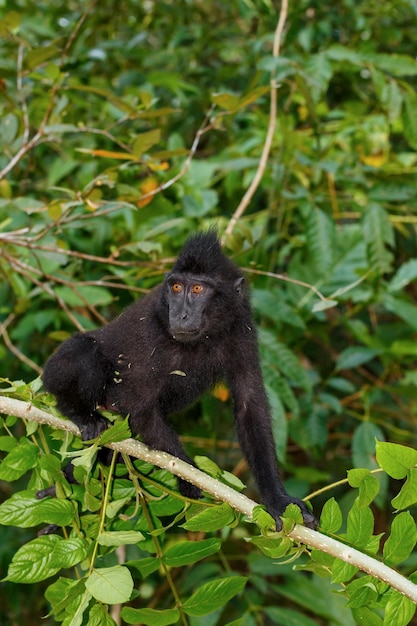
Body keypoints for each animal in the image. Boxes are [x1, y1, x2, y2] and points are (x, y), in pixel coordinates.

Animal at [43, 232, 316, 528]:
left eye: (197, 289)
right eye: (176, 287)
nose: (180, 314)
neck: (204, 337)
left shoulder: (242, 329)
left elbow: (249, 404)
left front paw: (277, 499)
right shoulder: (151, 331)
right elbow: (136, 403)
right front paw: (189, 477)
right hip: (55, 374)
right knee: (85, 350)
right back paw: (81, 415)